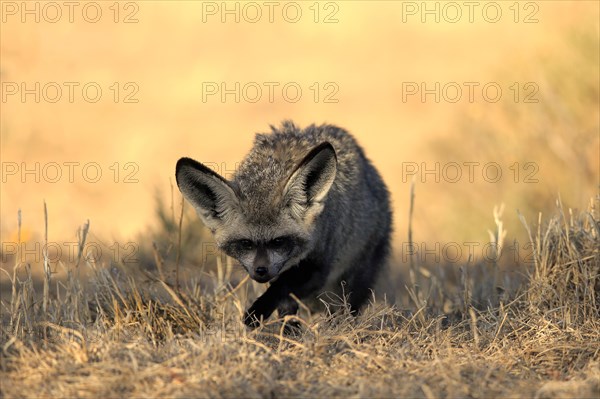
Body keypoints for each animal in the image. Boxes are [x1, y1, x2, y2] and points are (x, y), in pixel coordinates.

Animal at [175, 121, 394, 328]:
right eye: (246, 243)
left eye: (278, 241)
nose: (261, 271)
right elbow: (284, 298)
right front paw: (286, 327)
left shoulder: (318, 264)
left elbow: (282, 288)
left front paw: (258, 311)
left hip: (356, 274)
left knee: (346, 305)